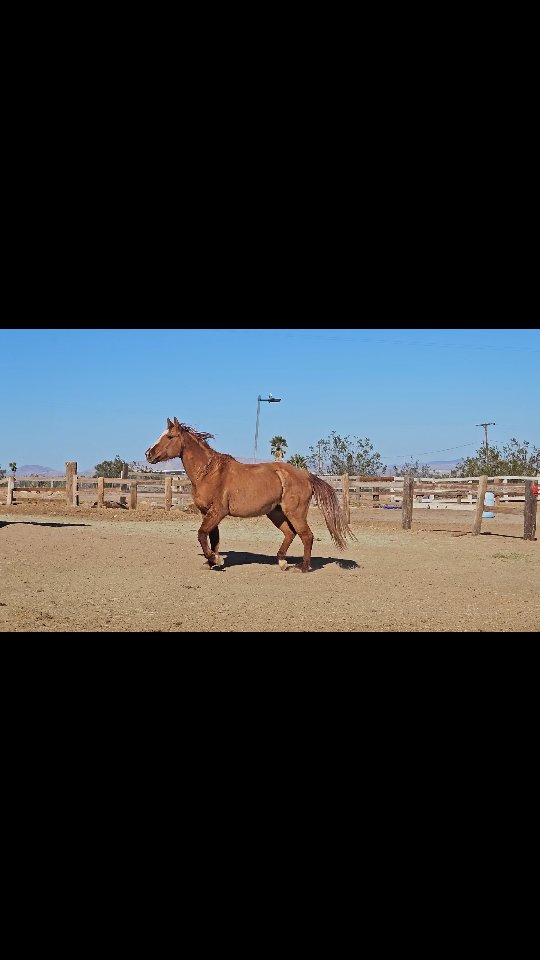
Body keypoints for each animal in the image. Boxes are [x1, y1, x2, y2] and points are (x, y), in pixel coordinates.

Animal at [145, 417, 355, 572]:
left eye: (170, 436)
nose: (149, 454)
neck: (209, 472)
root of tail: (306, 475)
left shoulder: (218, 512)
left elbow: (201, 534)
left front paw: (215, 559)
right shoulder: (208, 513)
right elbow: (212, 538)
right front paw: (211, 561)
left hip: (294, 512)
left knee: (306, 535)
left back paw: (302, 567)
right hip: (275, 513)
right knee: (290, 533)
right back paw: (282, 562)